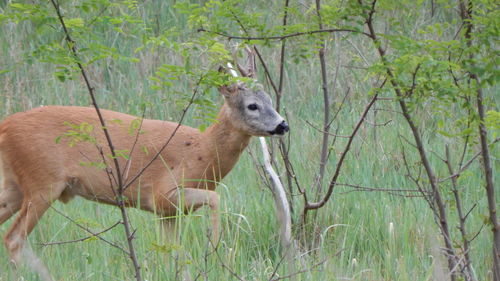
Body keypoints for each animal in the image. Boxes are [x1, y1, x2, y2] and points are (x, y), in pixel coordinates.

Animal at [0, 65, 290, 278]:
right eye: (252, 105)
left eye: (269, 99)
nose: (283, 125)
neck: (202, 152)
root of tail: (5, 126)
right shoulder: (164, 193)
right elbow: (217, 198)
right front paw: (217, 252)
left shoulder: (166, 213)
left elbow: (172, 251)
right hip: (42, 182)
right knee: (14, 238)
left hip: (15, 186)